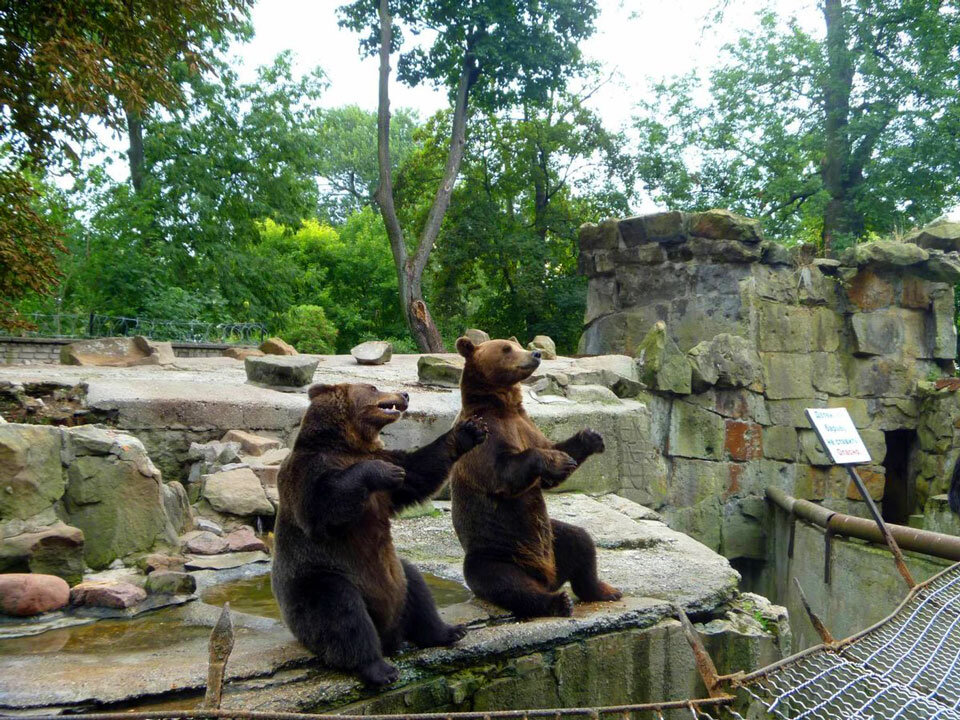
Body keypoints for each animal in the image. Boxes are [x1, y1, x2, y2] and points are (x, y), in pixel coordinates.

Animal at [274, 382, 488, 688]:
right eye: (373, 387)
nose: (405, 394)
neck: (348, 444)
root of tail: (388, 635)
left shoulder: (387, 463)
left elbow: (417, 471)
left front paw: (470, 430)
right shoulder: (310, 471)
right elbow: (322, 507)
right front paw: (379, 472)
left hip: (395, 573)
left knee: (416, 587)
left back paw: (447, 631)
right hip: (320, 579)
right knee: (342, 613)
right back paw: (379, 668)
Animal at [446, 338, 620, 620]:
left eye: (514, 343)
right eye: (506, 349)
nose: (536, 354)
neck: (503, 408)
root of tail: (545, 576)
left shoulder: (526, 426)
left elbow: (551, 456)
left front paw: (591, 438)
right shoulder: (484, 439)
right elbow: (504, 473)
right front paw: (558, 460)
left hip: (552, 538)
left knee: (580, 541)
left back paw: (606, 590)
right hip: (497, 552)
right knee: (508, 583)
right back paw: (558, 602)